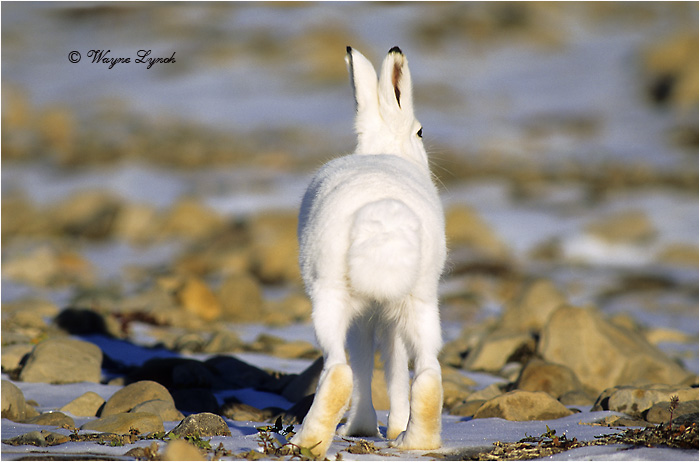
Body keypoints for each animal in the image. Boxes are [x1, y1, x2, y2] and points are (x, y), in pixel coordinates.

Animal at [290, 46, 446, 458]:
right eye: (421, 131)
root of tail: (384, 219)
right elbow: (393, 365)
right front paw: (392, 427)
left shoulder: (365, 315)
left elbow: (364, 362)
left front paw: (361, 427)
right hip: (421, 298)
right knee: (428, 372)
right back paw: (414, 441)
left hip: (329, 293)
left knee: (340, 369)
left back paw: (305, 441)